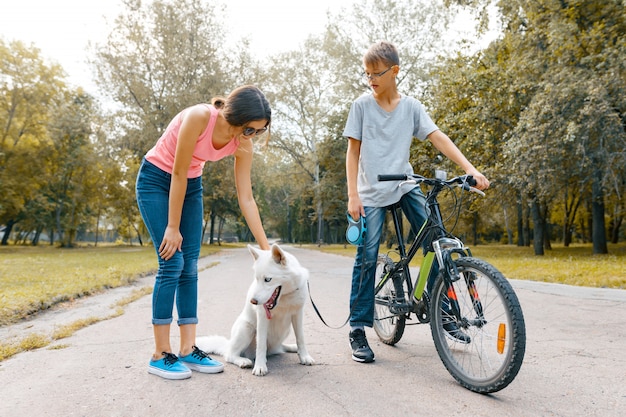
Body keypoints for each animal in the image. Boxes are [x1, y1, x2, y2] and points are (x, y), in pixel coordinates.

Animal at [196, 242, 314, 376]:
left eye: (267, 279)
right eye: (256, 278)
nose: (253, 301)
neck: (284, 297)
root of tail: (228, 344)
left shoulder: (298, 314)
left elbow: (301, 338)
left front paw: (304, 356)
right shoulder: (262, 318)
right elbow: (261, 344)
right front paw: (260, 366)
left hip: (284, 331)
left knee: (279, 348)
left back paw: (291, 347)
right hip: (247, 328)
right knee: (230, 355)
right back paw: (243, 361)